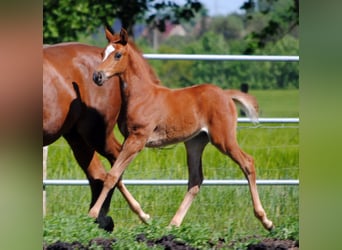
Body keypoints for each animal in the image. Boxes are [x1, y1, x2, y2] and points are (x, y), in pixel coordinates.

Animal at [89, 28, 274, 230]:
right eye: (102, 53)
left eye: (118, 55)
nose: (97, 76)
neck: (142, 95)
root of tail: (226, 95)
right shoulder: (128, 140)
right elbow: (117, 176)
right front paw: (143, 216)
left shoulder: (137, 139)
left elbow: (112, 176)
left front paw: (92, 214)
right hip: (195, 142)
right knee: (195, 179)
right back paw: (173, 224)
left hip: (223, 139)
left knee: (247, 163)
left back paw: (266, 220)